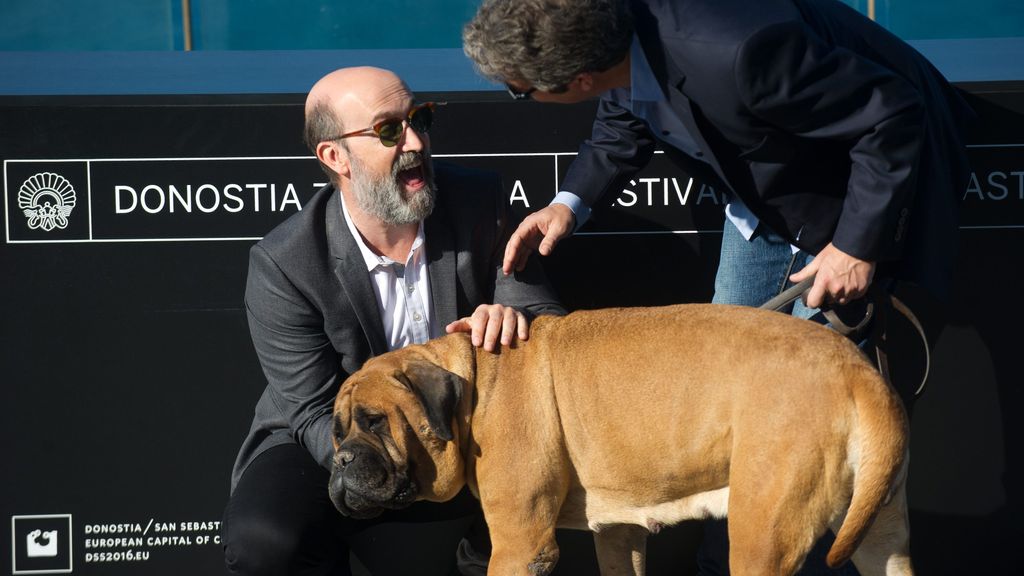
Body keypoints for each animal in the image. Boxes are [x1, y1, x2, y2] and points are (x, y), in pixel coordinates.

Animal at [327, 303, 913, 569]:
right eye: (336, 432)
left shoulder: (520, 544)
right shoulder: (619, 533)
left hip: (762, 538)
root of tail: (858, 369)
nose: (340, 463)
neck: (472, 386)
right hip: (879, 531)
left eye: (375, 421)